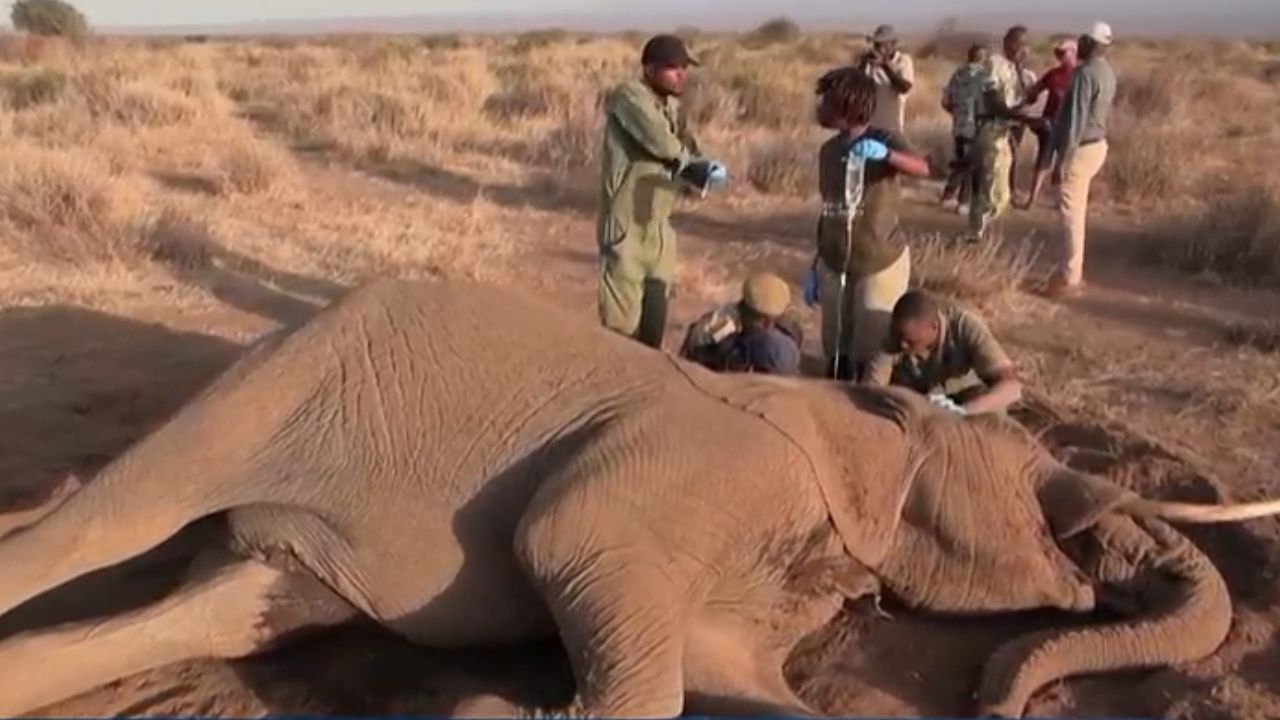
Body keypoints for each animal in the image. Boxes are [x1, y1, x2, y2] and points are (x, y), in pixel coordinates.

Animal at [0, 276, 1277, 718]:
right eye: (1041, 488)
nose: (988, 703)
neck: (844, 412)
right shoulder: (703, 467)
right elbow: (572, 541)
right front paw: (507, 711)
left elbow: (729, 677)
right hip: (284, 379)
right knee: (112, 520)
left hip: (292, 545)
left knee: (220, 611)